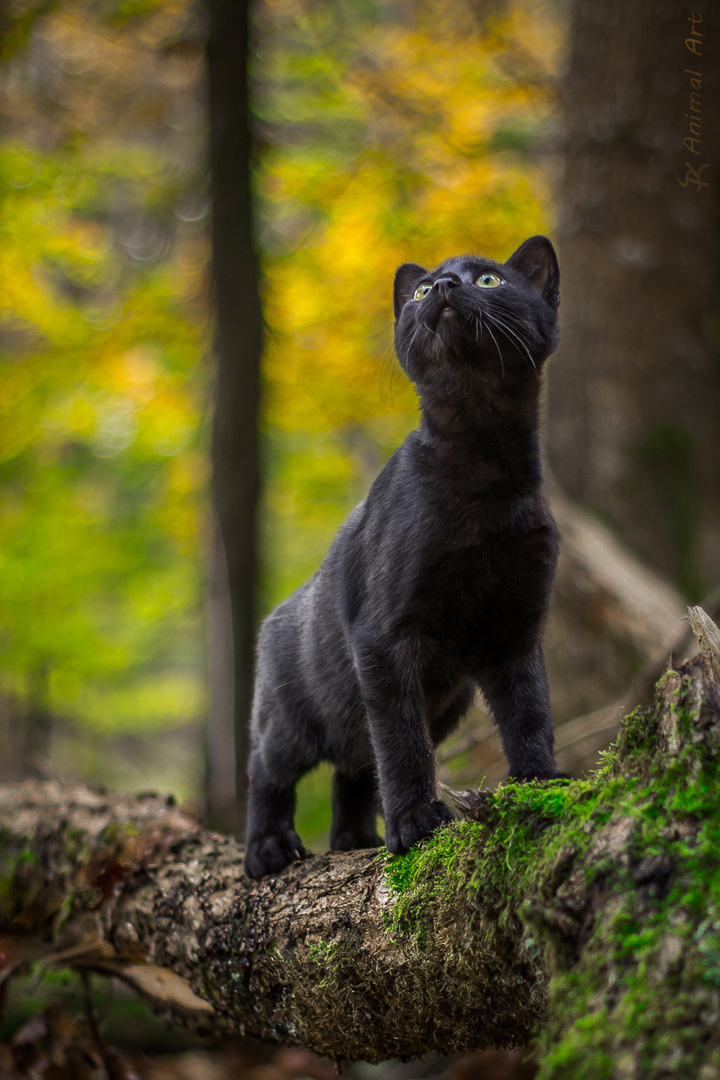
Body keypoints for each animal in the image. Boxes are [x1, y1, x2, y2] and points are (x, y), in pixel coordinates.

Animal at [245, 234, 565, 876]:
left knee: (352, 771)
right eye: (420, 290)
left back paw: (355, 841)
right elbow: (400, 740)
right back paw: (268, 848)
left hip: (447, 702)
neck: (485, 468)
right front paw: (417, 823)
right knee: (267, 770)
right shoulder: (385, 635)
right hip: (291, 720)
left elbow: (529, 711)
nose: (442, 286)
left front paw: (539, 785)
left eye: (489, 280)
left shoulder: (516, 629)